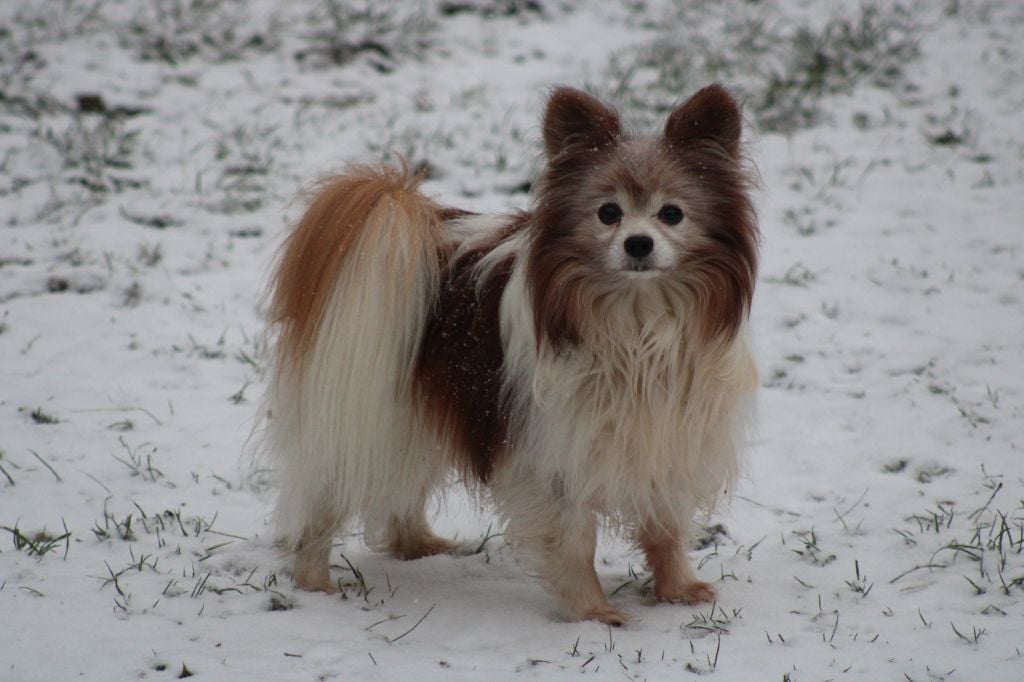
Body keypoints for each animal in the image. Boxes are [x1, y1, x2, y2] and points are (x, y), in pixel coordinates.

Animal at [264, 84, 761, 622]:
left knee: (405, 482)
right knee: (324, 499)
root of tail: (414, 225)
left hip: (420, 407)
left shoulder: (668, 435)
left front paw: (677, 590)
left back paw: (417, 545)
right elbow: (574, 541)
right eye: (608, 213)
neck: (636, 321)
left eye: (672, 213)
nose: (638, 244)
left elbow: (665, 526)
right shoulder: (552, 452)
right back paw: (315, 581)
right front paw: (593, 612)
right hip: (368, 410)